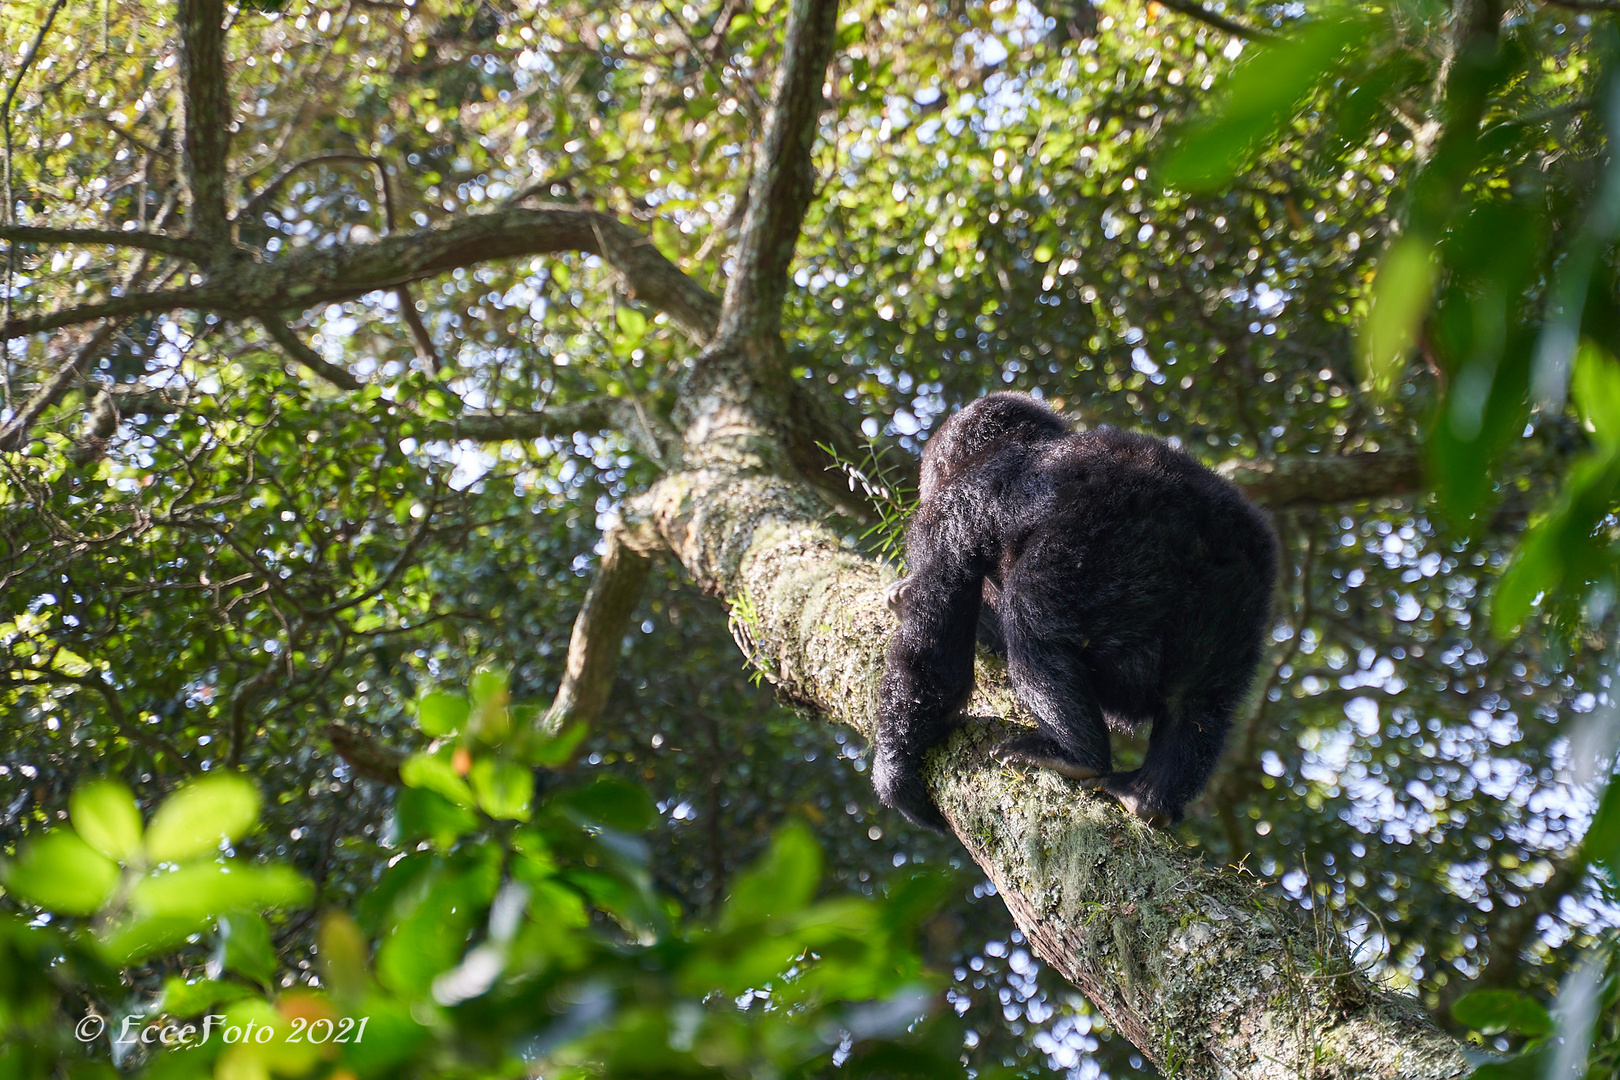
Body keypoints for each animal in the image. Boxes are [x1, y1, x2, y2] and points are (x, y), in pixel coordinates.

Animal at [874, 393, 1276, 835]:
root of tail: (1201, 529)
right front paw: (901, 594)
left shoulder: (945, 518)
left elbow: (934, 655)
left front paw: (895, 773)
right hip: (1238, 596)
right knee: (1196, 701)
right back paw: (1149, 795)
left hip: (1101, 558)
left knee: (1033, 630)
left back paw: (1074, 754)